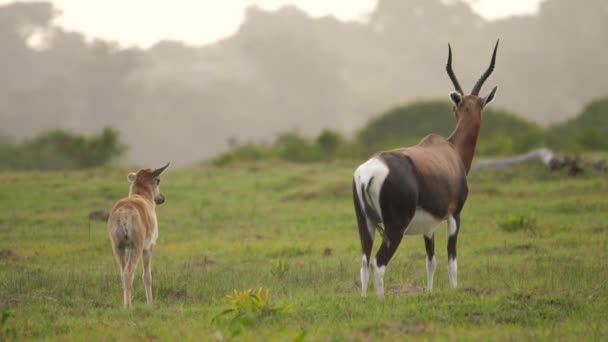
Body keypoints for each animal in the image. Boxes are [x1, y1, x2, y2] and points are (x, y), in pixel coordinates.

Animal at [108, 162, 170, 308]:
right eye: (158, 180)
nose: (162, 198)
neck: (141, 197)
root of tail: (123, 212)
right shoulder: (148, 248)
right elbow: (147, 276)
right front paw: (150, 304)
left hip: (118, 248)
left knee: (122, 274)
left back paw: (126, 305)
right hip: (136, 248)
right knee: (128, 274)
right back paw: (128, 307)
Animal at [352, 40, 498, 296]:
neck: (450, 149)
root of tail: (368, 172)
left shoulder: (428, 225)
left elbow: (431, 261)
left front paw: (429, 293)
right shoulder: (454, 215)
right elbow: (451, 262)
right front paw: (454, 291)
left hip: (365, 225)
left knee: (364, 264)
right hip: (395, 228)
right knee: (378, 264)